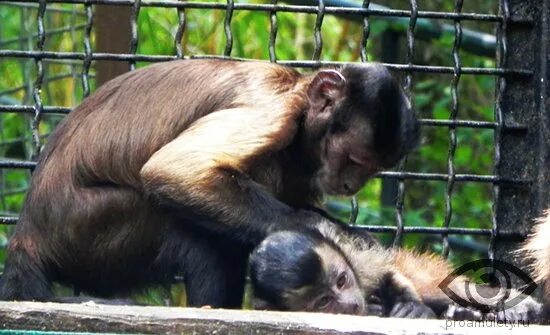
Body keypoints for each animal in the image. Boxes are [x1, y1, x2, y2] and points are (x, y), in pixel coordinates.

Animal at [250, 227, 544, 322]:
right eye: (324, 301)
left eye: (342, 281)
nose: (350, 304)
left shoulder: (359, 263)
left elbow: (386, 274)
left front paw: (411, 307)